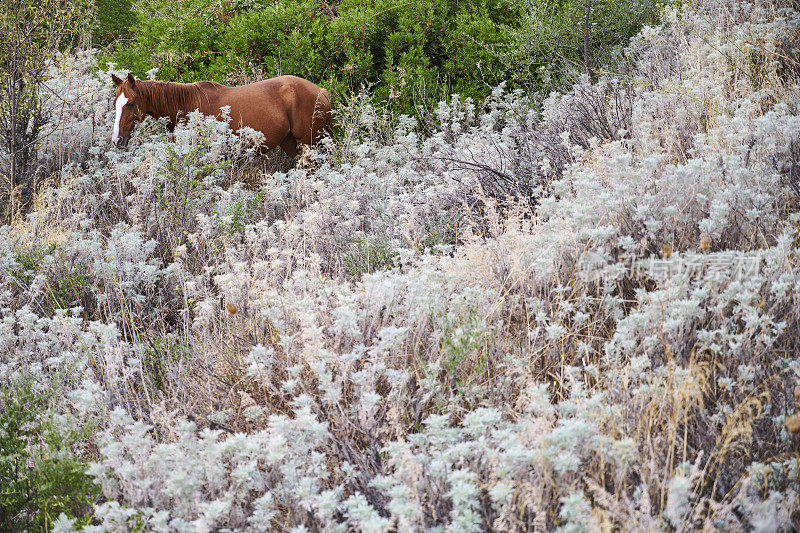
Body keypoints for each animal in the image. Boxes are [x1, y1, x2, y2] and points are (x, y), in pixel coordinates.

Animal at [110, 72, 332, 157]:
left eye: (130, 104)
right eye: (115, 104)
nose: (117, 139)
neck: (188, 104)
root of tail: (321, 91)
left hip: (308, 142)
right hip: (290, 142)